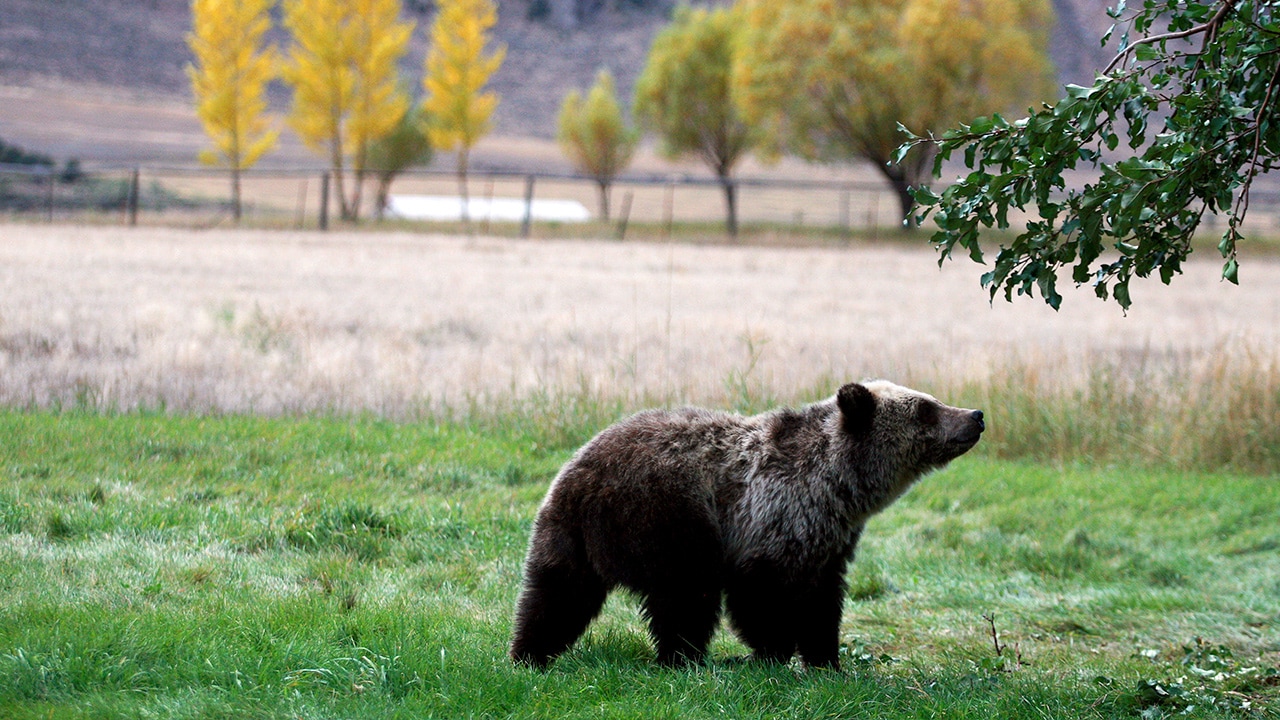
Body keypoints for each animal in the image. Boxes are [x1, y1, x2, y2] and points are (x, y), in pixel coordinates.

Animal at [508, 380, 984, 669]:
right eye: (926, 407)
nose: (976, 415)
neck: (840, 487)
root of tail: (580, 472)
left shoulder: (830, 541)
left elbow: (822, 602)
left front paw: (826, 661)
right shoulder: (771, 517)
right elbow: (761, 596)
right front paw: (772, 652)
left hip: (566, 534)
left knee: (556, 594)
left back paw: (529, 654)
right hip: (669, 515)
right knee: (686, 595)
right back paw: (684, 659)